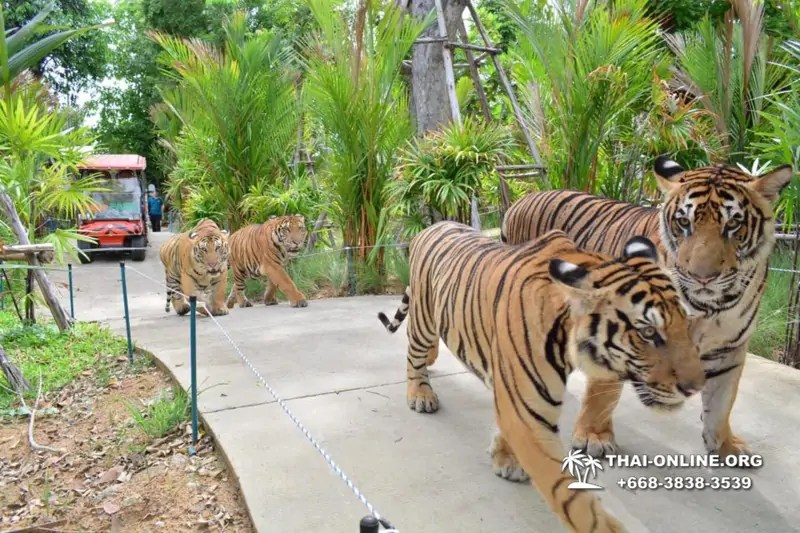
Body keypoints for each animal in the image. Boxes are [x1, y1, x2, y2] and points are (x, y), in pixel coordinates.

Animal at [377, 221, 704, 533]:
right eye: (647, 332)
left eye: (685, 323)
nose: (696, 387)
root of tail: (429, 227)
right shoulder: (529, 417)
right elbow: (576, 502)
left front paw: (505, 458)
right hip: (423, 318)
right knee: (414, 356)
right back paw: (421, 395)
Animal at [501, 156, 794, 459]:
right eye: (683, 222)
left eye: (734, 223)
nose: (702, 277)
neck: (710, 305)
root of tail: (523, 198)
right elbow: (604, 391)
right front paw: (594, 437)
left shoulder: (729, 347)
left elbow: (722, 402)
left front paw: (725, 446)